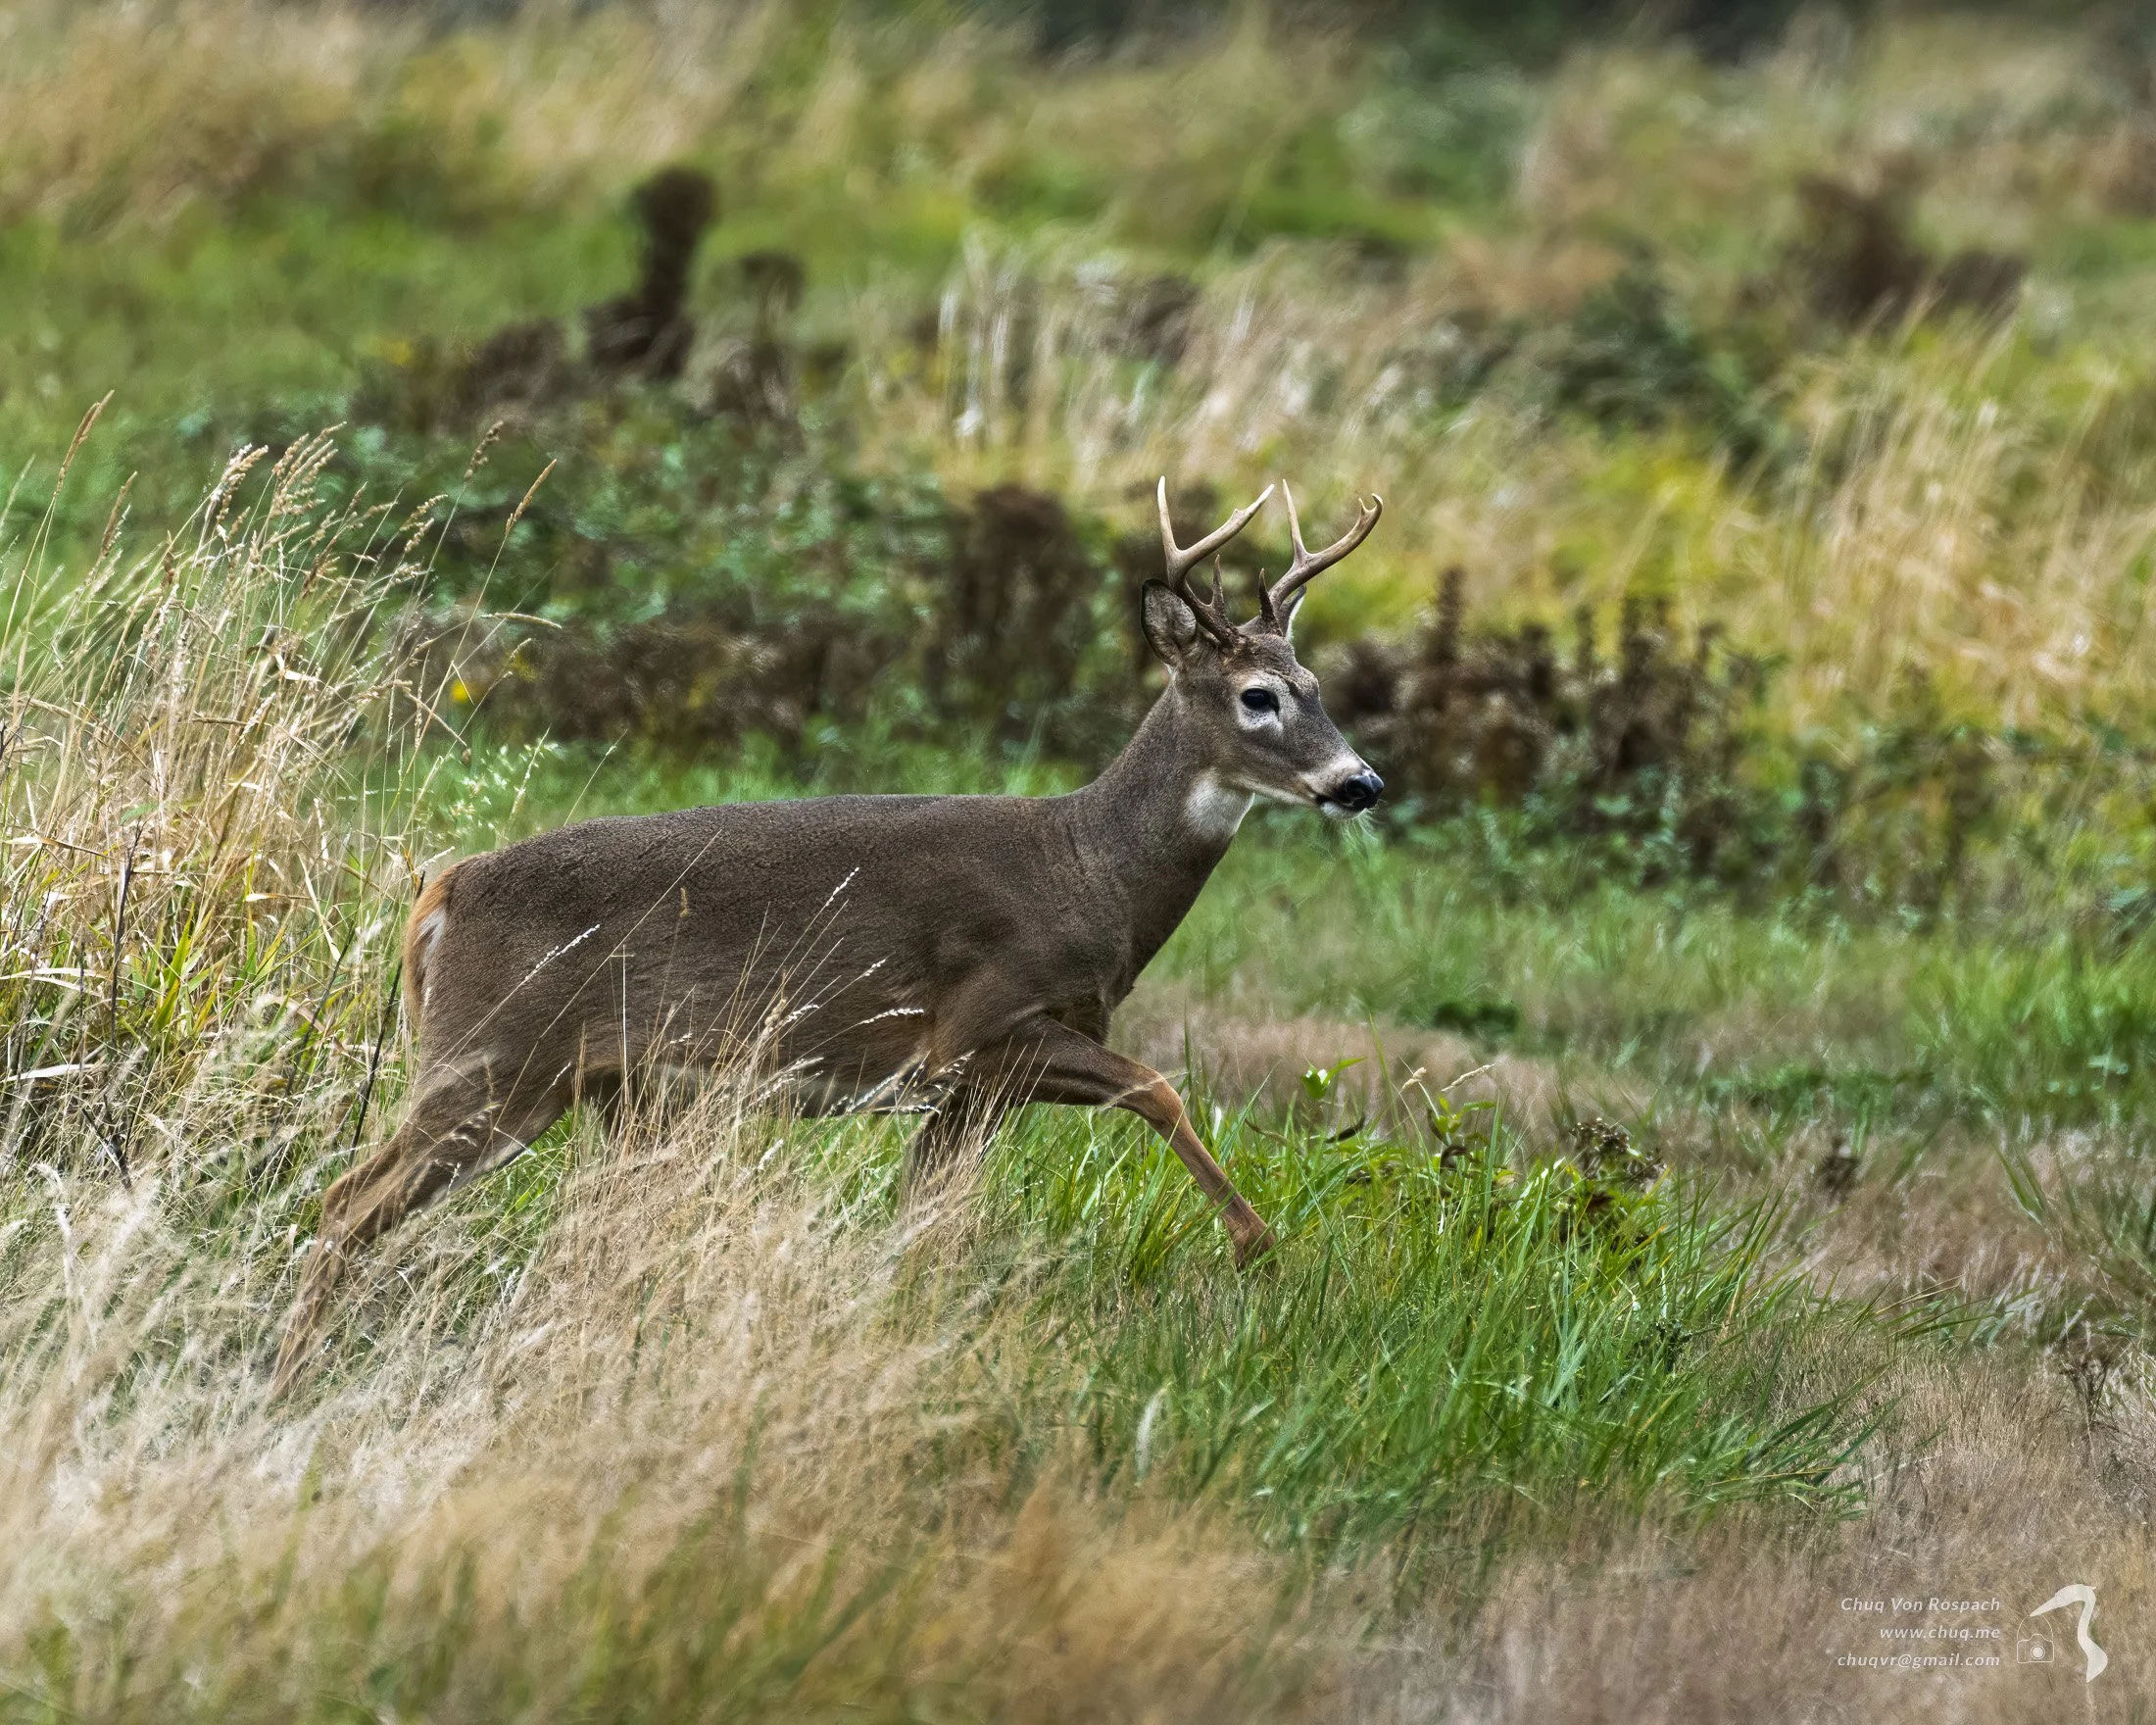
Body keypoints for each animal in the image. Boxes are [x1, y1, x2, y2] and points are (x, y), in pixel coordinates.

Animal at [271, 479, 1384, 1394]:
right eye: (1256, 696)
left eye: (1319, 687)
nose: (1360, 783)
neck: (1090, 872)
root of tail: (442, 890)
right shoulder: (981, 1026)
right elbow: (1159, 1086)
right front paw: (1256, 1243)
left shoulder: (970, 1089)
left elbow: (923, 1226)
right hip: (492, 1058)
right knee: (345, 1201)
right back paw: (292, 1373)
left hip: (576, 1083)